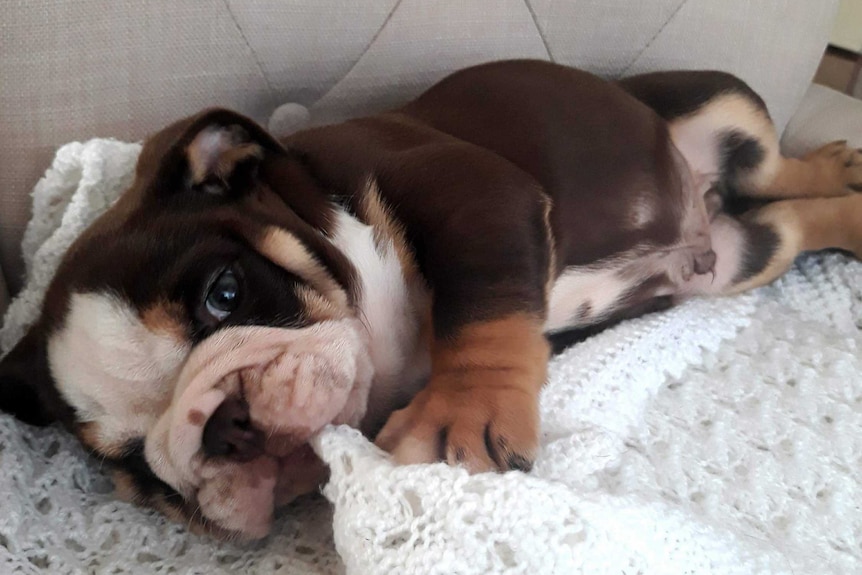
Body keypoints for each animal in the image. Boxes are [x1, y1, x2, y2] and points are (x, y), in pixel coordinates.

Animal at [1, 60, 862, 544]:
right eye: (130, 464)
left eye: (225, 292)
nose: (223, 423)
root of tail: (705, 207)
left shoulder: (474, 190)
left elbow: (484, 308)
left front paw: (465, 412)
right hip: (738, 261)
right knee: (790, 219)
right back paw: (846, 205)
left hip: (721, 103)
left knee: (777, 167)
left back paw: (836, 164)